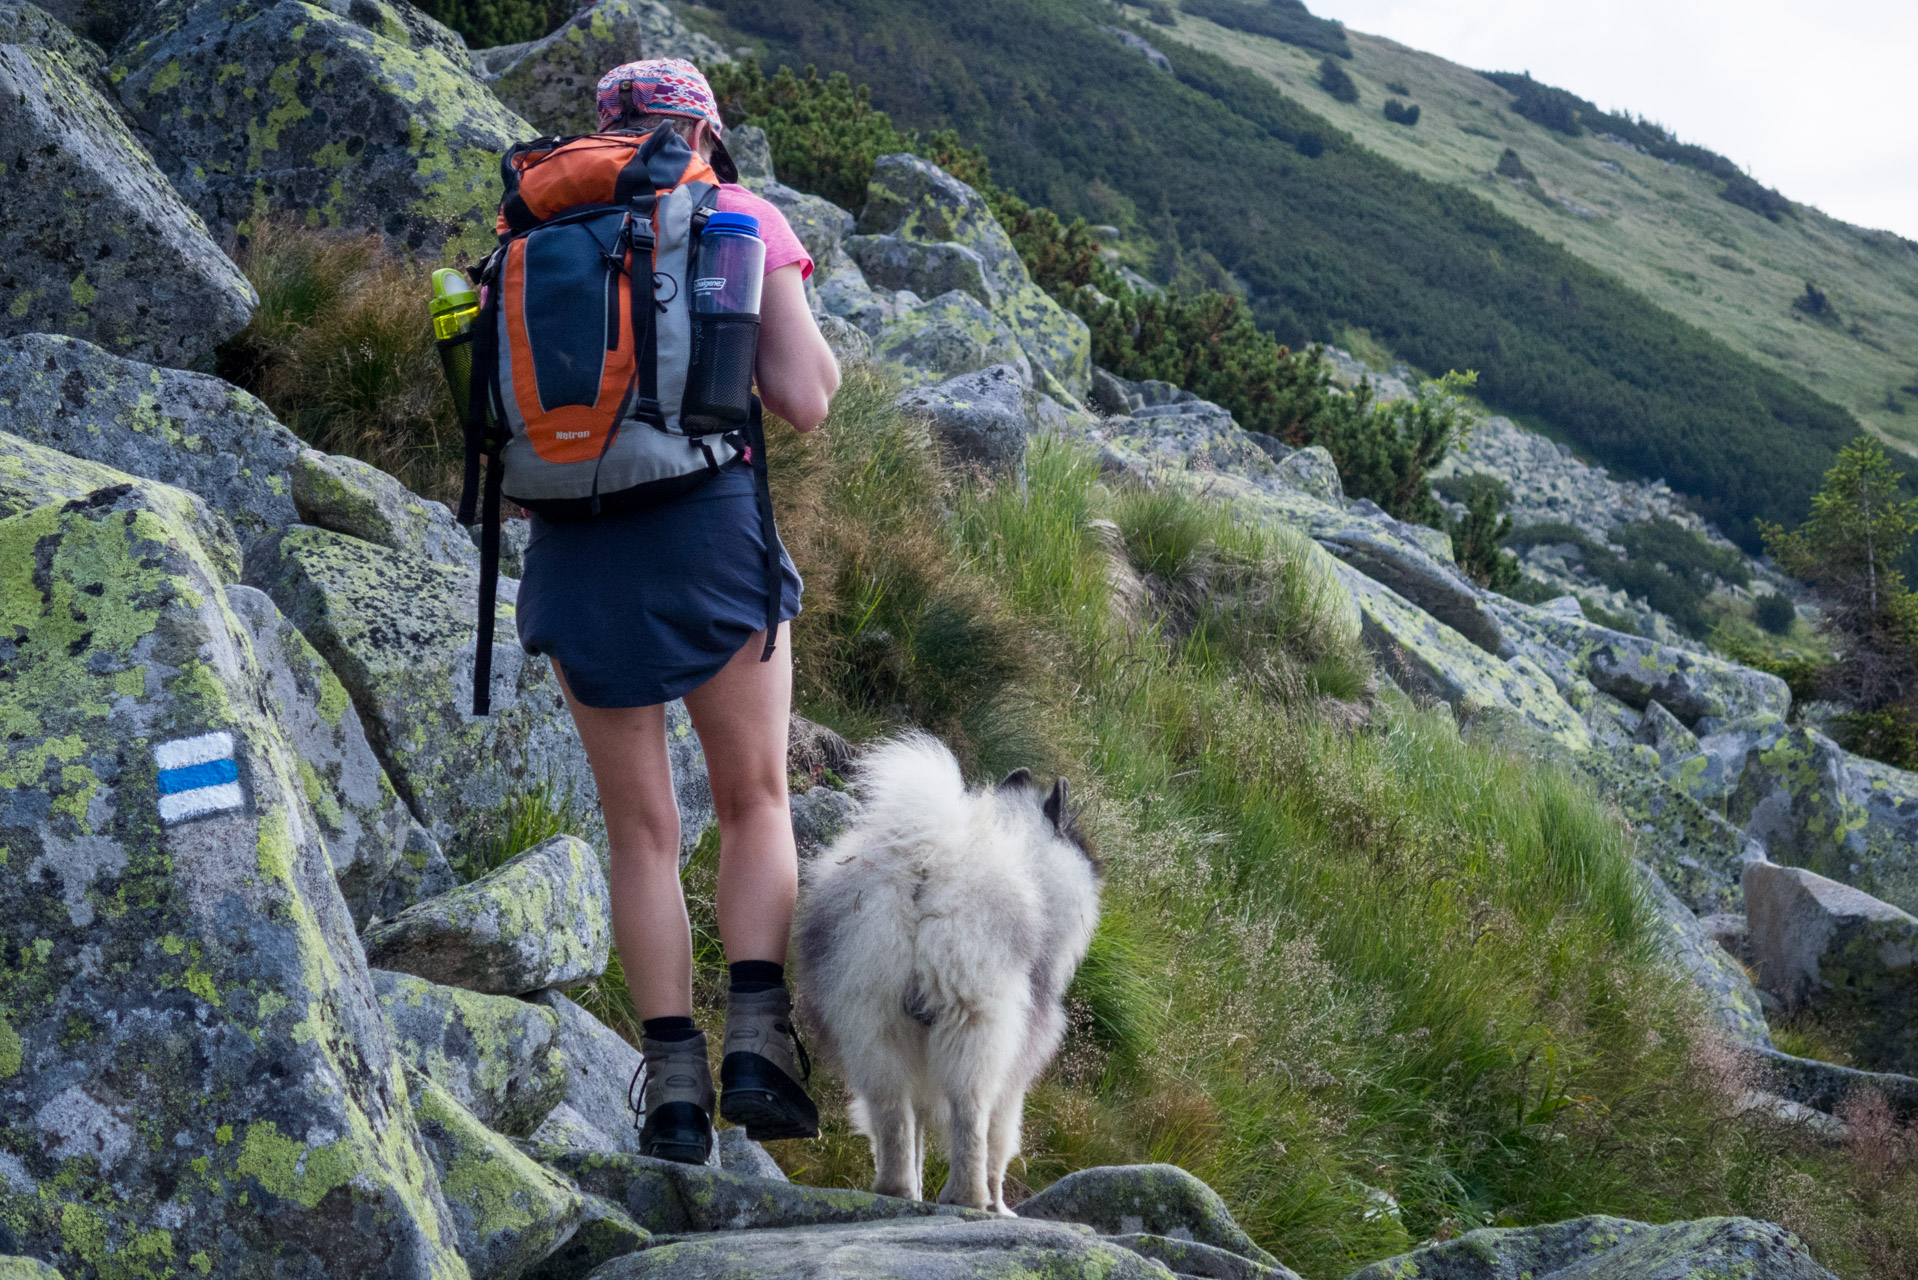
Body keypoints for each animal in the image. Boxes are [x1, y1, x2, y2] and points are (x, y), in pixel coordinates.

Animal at [794, 736, 1104, 1220]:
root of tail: (928, 864)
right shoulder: (1016, 1071)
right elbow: (1000, 1141)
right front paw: (1000, 1206)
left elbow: (916, 1131)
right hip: (975, 1021)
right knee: (970, 1112)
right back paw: (970, 1199)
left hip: (871, 1016)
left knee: (891, 1113)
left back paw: (897, 1190)